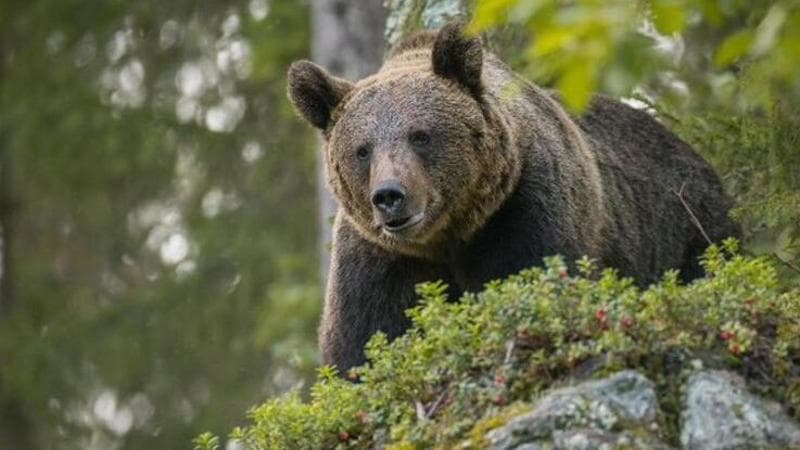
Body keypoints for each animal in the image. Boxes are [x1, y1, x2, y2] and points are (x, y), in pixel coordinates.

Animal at [287, 22, 739, 372]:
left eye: (420, 135)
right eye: (362, 149)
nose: (389, 196)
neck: (449, 236)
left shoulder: (526, 208)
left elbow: (531, 283)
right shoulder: (379, 258)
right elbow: (364, 343)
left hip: (689, 228)